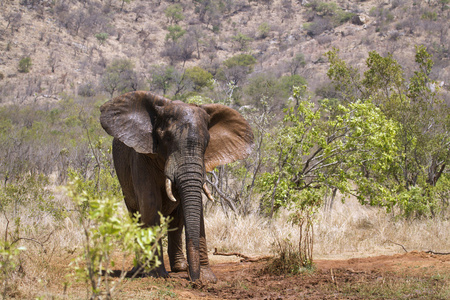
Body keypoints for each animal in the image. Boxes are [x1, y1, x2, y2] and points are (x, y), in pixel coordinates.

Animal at [100, 90, 253, 282]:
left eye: (207, 143)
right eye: (166, 138)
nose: (194, 280)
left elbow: (196, 208)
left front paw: (207, 278)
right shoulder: (140, 157)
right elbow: (150, 204)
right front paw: (157, 275)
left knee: (176, 219)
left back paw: (179, 267)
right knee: (136, 217)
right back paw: (140, 270)